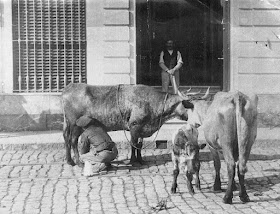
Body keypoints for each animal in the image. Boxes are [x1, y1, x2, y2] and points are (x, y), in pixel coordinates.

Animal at [61, 83, 203, 166]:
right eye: (190, 105)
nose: (198, 122)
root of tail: (69, 88)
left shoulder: (141, 128)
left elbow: (139, 145)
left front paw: (140, 160)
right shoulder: (134, 125)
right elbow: (134, 144)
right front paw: (133, 161)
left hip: (67, 123)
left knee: (66, 138)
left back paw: (69, 161)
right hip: (75, 124)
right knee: (73, 140)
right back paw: (78, 162)